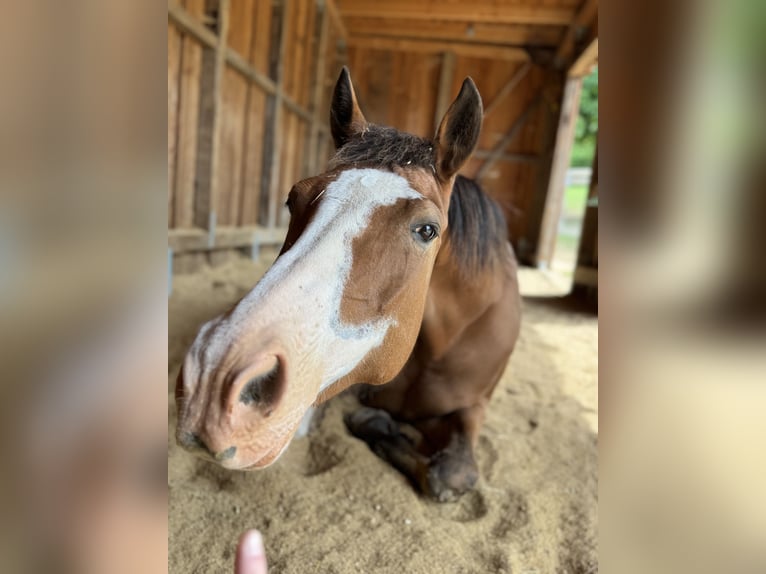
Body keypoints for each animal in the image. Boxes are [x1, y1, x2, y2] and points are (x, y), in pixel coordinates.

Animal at [175, 67, 521, 501]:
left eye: (427, 230)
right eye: (292, 198)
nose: (211, 379)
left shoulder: (475, 406)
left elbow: (452, 475)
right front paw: (373, 421)